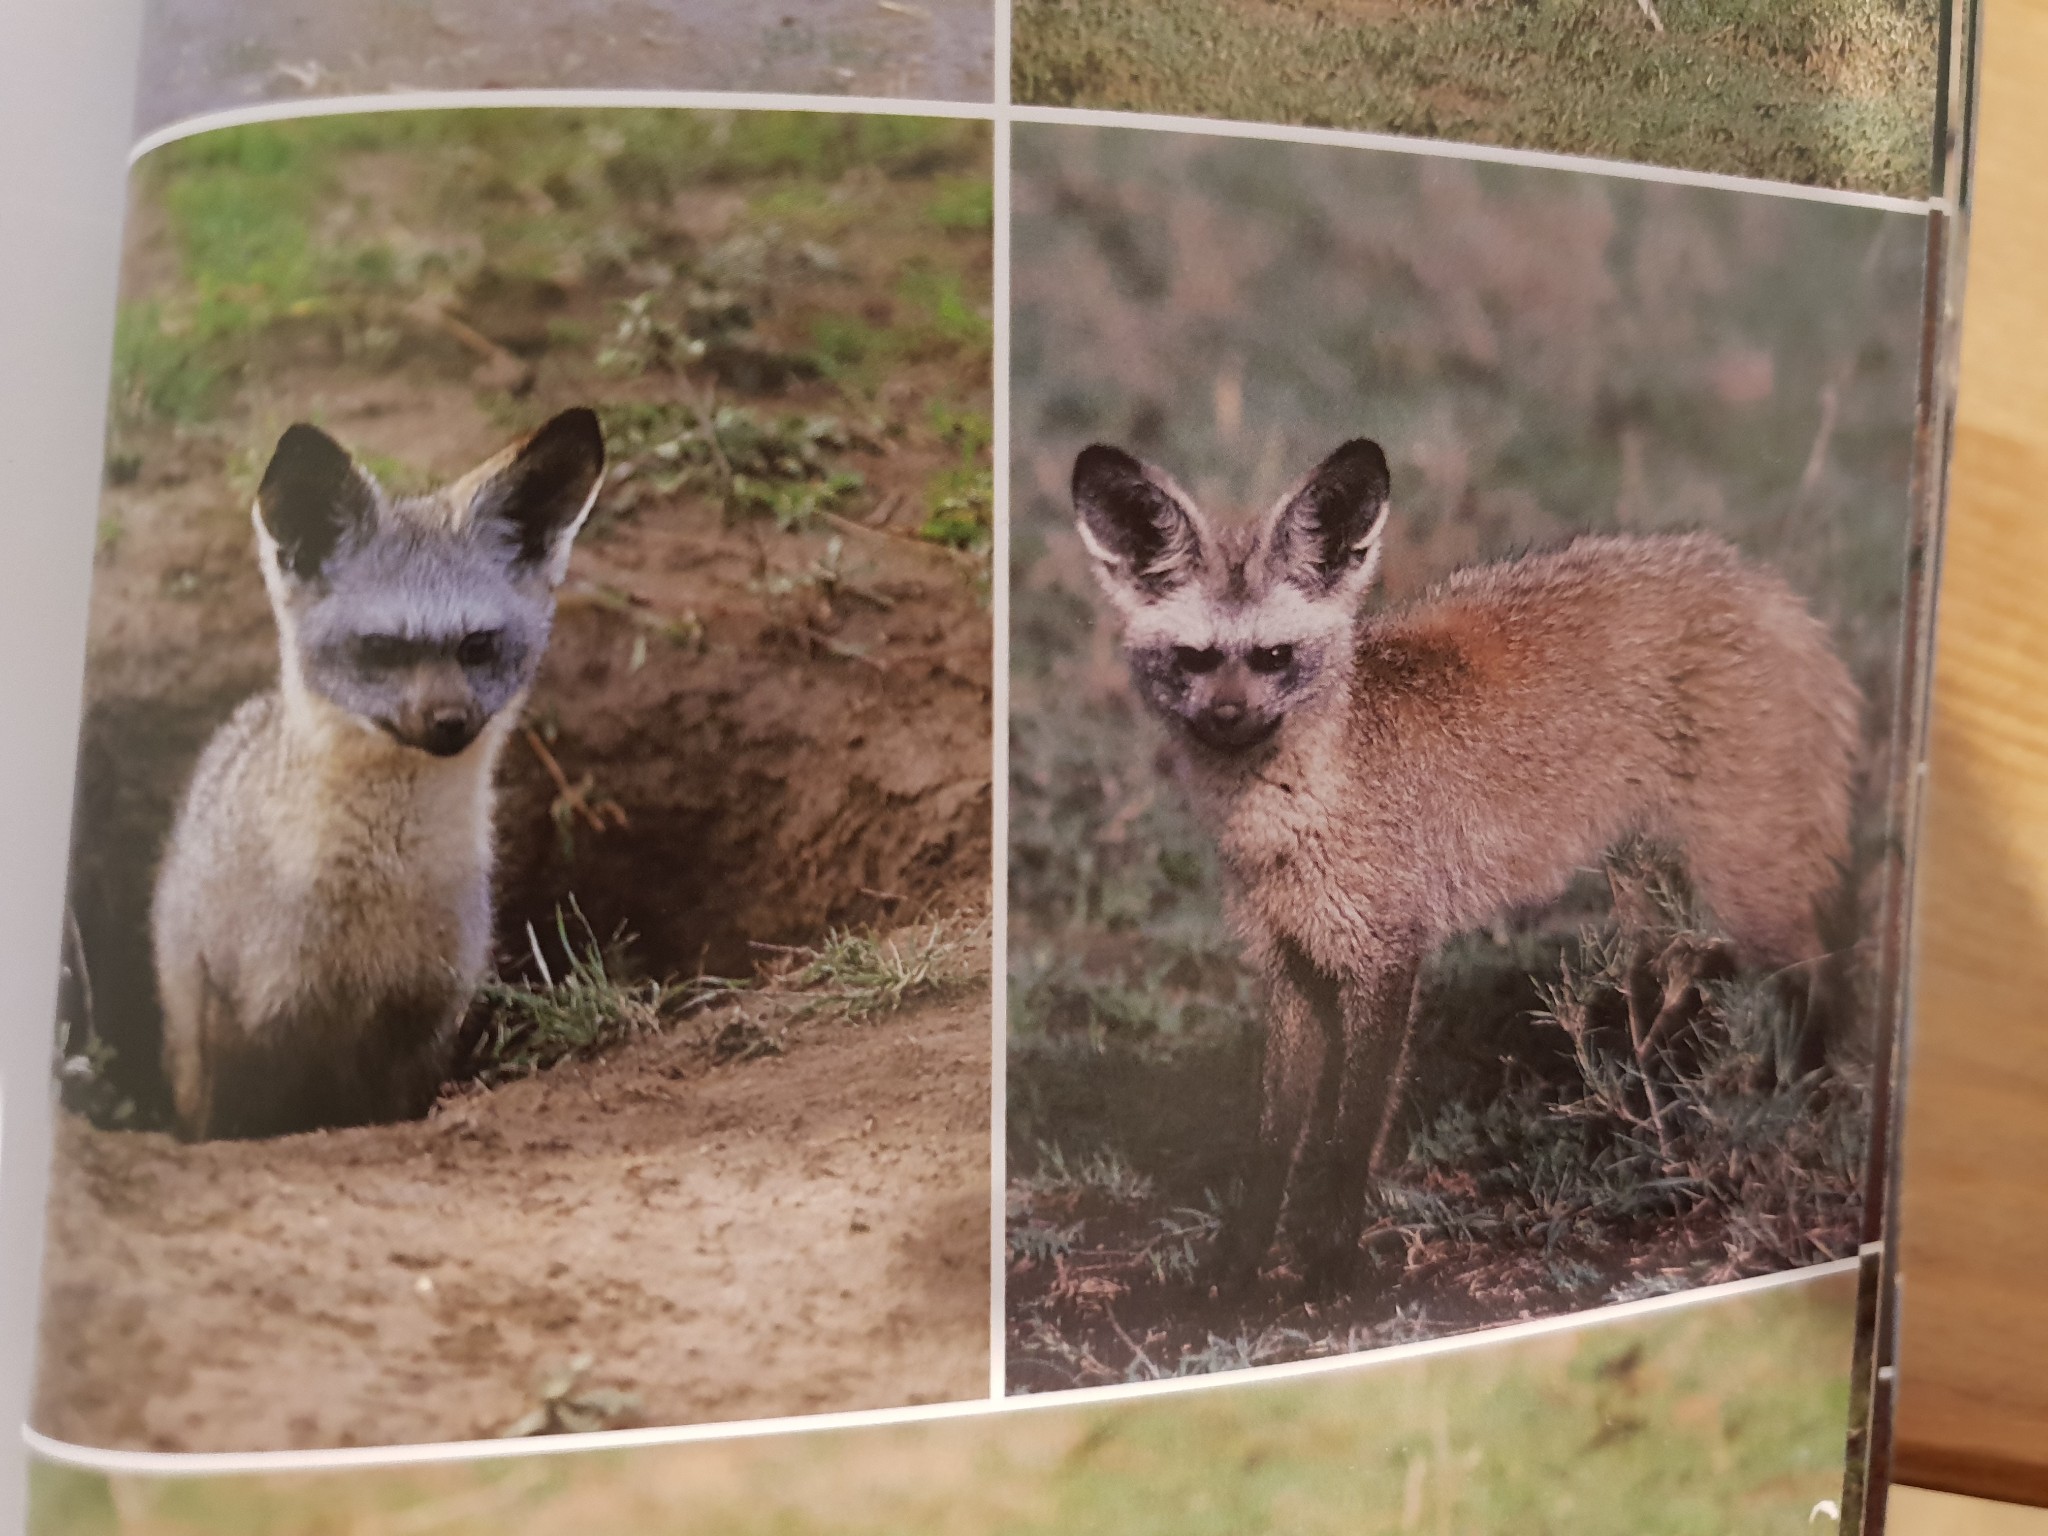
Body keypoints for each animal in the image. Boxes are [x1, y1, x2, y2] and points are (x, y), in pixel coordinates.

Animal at [152, 409, 602, 1146]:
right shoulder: (251, 1018)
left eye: (477, 646)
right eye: (382, 649)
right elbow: (233, 1126)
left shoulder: (422, 1019)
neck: (388, 881)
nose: (449, 722)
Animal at [1081, 438, 1867, 1294]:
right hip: (1663, 889)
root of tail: (1769, 590)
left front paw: (1327, 1266)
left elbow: (1349, 1133)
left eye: (1273, 656)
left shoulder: (1386, 954)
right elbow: (1271, 1141)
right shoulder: (1289, 961)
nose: (1228, 718)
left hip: (1743, 888)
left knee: (1813, 988)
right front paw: (1238, 1267)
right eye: (1194, 659)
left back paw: (1791, 1121)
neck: (1294, 819)